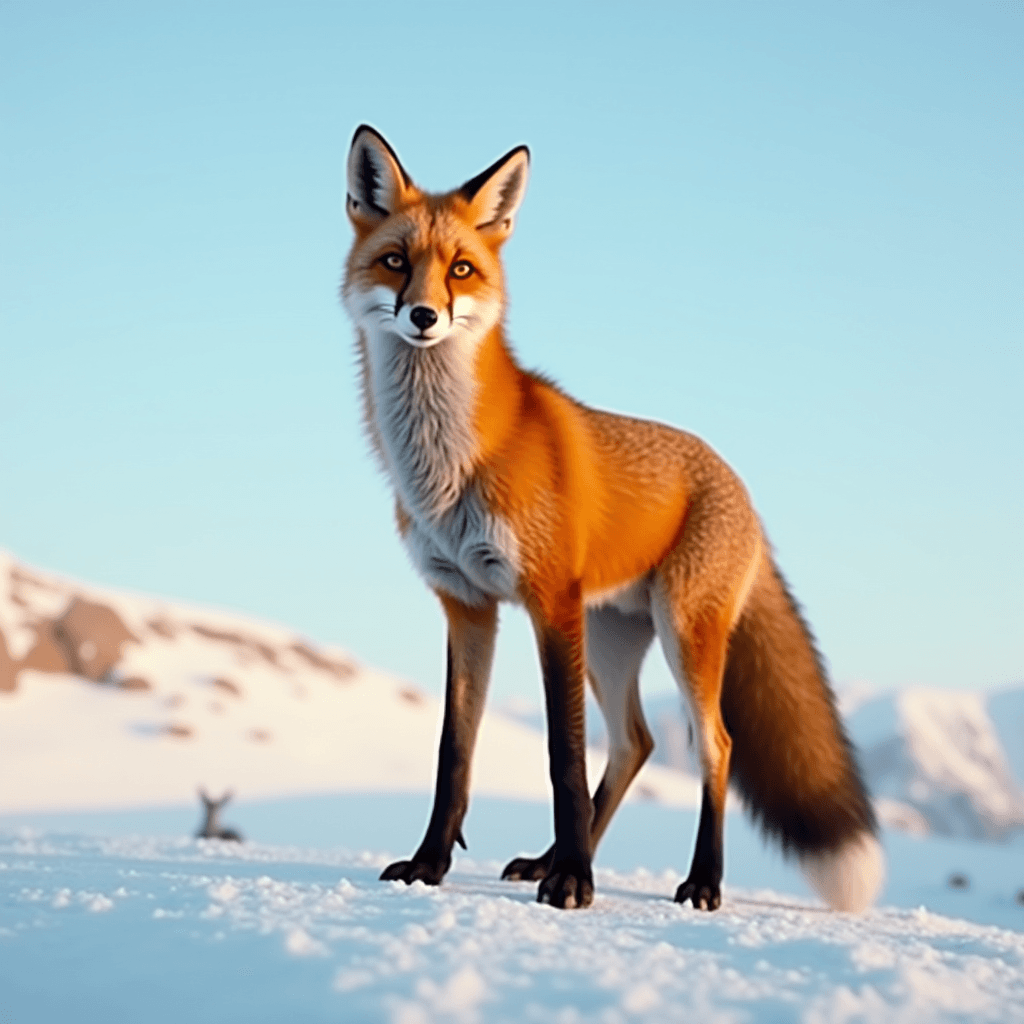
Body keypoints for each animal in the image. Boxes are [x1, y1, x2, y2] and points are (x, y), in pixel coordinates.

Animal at [342, 125, 880, 913]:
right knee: (636, 743)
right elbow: (454, 751)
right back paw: (552, 857)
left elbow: (562, 753)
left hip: (678, 631)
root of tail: (740, 487)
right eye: (395, 263)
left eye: (462, 270)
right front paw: (431, 864)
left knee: (714, 745)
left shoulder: (548, 600)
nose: (423, 316)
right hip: (610, 639)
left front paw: (574, 882)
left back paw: (699, 881)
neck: (451, 465)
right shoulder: (467, 604)